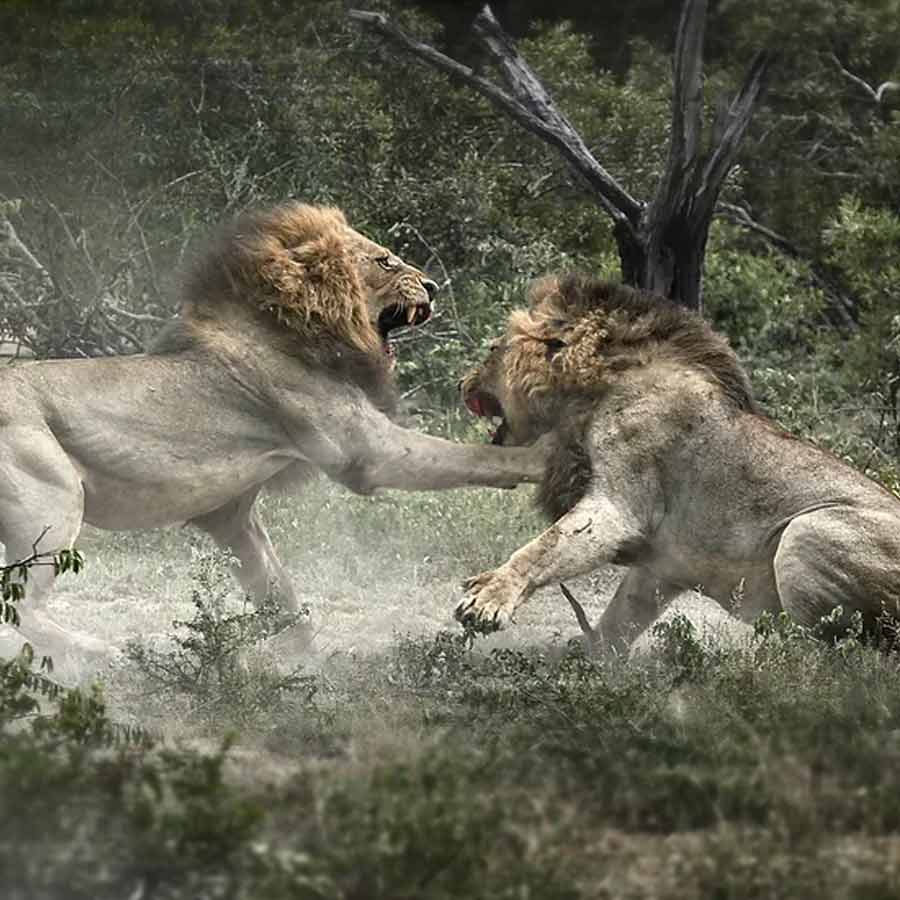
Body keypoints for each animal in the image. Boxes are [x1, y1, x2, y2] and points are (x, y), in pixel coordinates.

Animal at [0, 202, 547, 659]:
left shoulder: (231, 514)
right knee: (19, 605)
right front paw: (543, 455)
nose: (432, 286)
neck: (300, 328)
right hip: (55, 503)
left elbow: (279, 591)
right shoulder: (366, 450)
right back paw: (99, 652)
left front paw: (295, 656)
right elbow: (469, 457)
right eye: (386, 261)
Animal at [456, 273, 900, 648]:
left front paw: (487, 599)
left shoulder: (621, 504)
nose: (460, 383)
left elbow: (544, 548)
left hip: (805, 532)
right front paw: (585, 660)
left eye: (492, 350)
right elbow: (620, 619)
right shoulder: (661, 565)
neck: (588, 393)